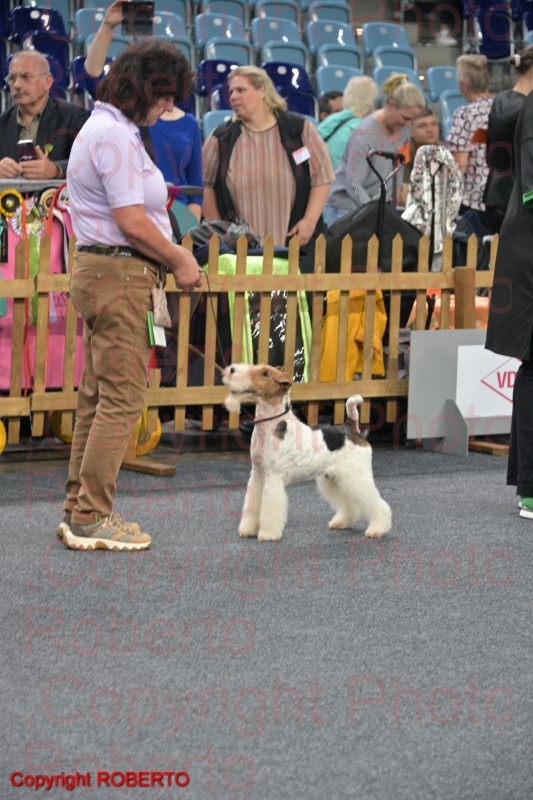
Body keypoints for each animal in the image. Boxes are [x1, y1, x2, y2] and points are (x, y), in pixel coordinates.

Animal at [223, 363, 392, 542]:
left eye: (264, 373)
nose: (231, 370)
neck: (271, 424)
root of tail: (351, 429)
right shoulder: (257, 474)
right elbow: (252, 505)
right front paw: (247, 529)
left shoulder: (274, 477)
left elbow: (270, 510)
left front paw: (268, 534)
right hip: (336, 478)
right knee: (350, 504)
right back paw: (341, 522)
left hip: (356, 476)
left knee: (378, 503)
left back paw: (377, 529)